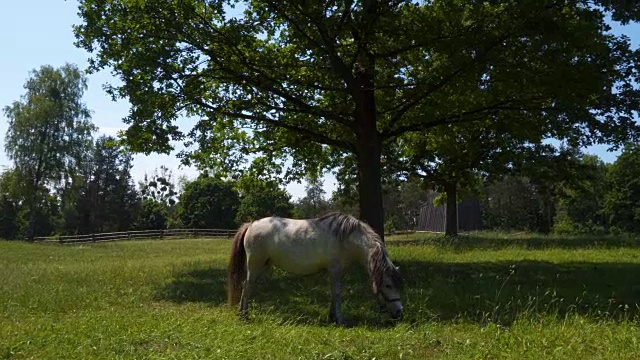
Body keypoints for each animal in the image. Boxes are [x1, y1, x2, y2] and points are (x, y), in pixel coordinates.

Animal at [228, 212, 402, 324]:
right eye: (388, 285)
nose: (399, 312)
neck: (346, 239)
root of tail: (252, 224)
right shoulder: (335, 271)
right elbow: (337, 294)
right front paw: (340, 320)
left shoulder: (337, 273)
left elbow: (334, 294)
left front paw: (332, 317)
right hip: (255, 266)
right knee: (247, 287)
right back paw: (244, 316)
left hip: (262, 266)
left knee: (247, 286)